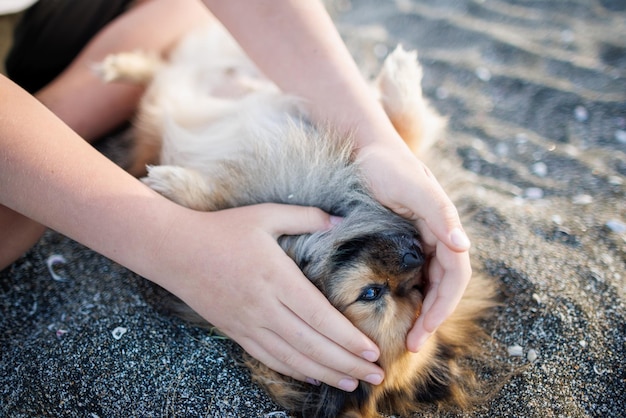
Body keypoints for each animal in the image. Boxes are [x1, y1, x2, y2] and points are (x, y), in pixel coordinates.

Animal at [98, 22, 492, 418]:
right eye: (373, 292)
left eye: (413, 289)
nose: (417, 254)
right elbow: (404, 133)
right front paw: (402, 75)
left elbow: (213, 203)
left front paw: (170, 185)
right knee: (159, 71)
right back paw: (115, 67)